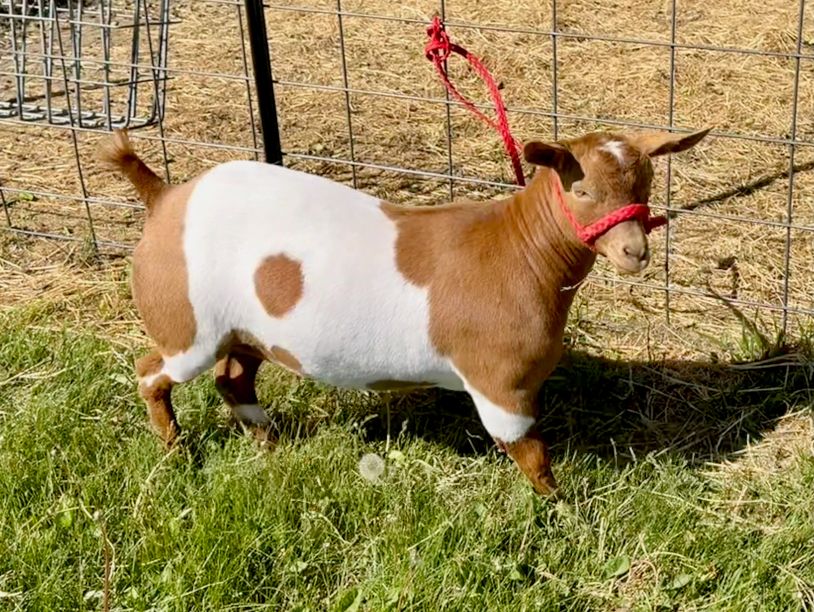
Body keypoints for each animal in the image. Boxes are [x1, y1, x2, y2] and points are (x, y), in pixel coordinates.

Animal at [100, 127, 709, 495]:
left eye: (646, 184)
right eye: (581, 191)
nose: (635, 251)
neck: (520, 249)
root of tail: (164, 197)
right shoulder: (500, 383)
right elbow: (532, 454)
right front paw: (561, 509)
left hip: (253, 329)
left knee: (232, 377)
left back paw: (269, 443)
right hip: (187, 326)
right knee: (151, 373)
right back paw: (177, 452)